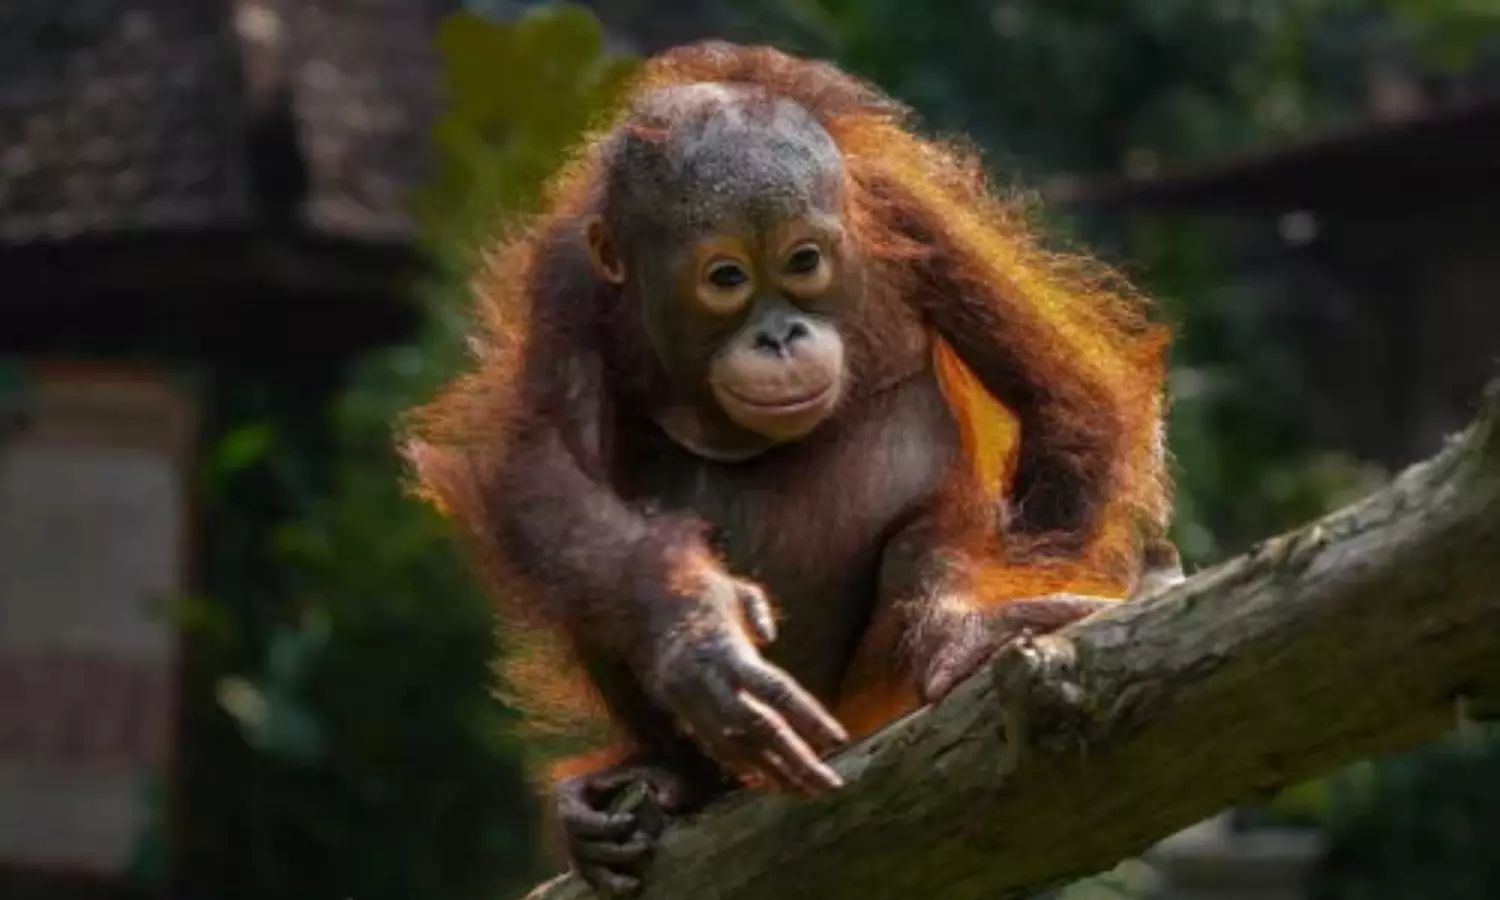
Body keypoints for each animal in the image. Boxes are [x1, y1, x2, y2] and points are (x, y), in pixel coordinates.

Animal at [402, 42, 1181, 897]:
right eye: (726, 278)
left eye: (803, 261)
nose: (779, 336)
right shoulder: (567, 278)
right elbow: (549, 468)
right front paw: (698, 633)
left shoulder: (907, 212)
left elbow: (1067, 399)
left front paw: (976, 616)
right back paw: (675, 777)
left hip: (867, 689)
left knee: (933, 526)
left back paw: (952, 633)